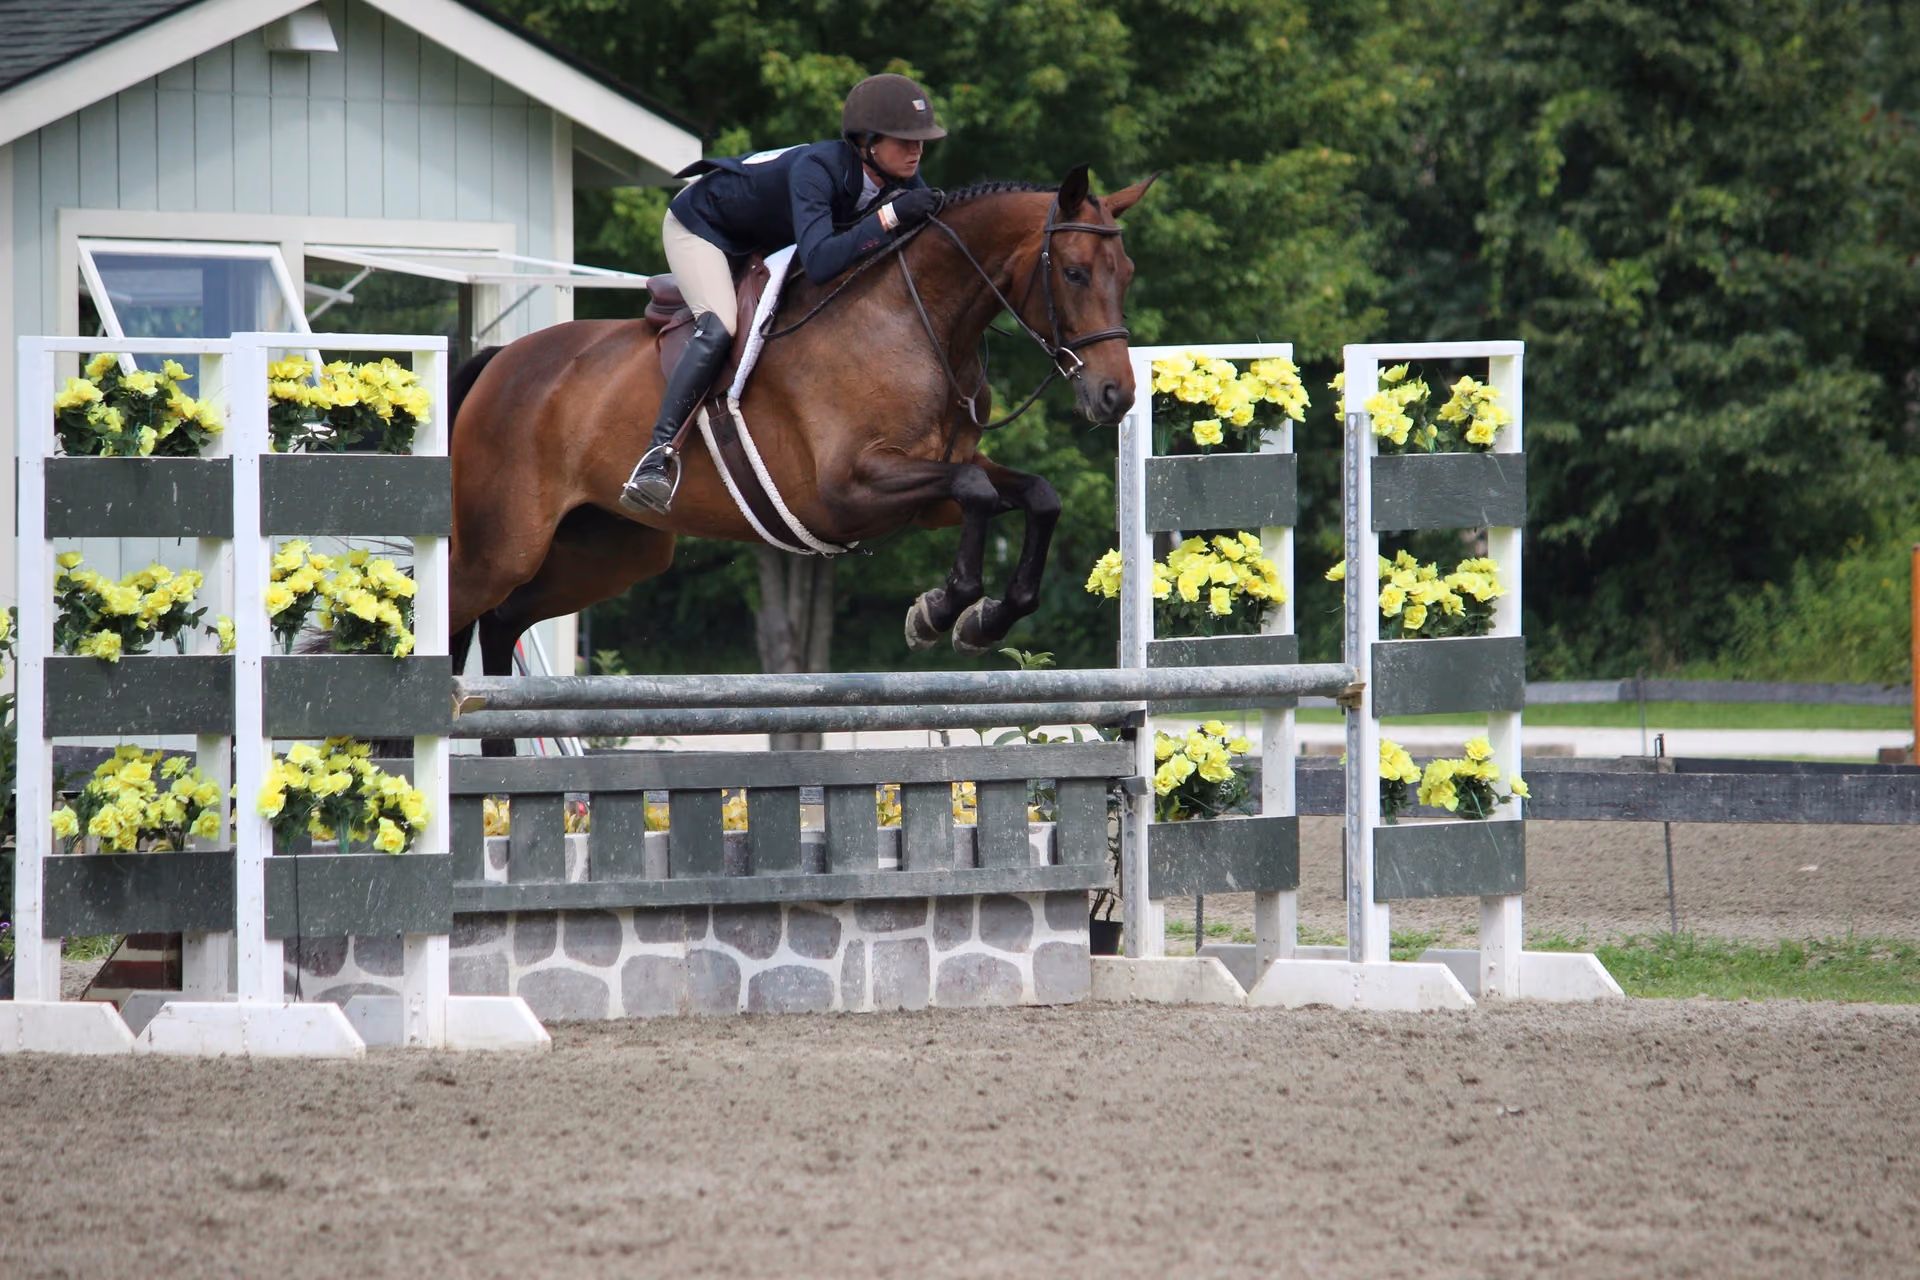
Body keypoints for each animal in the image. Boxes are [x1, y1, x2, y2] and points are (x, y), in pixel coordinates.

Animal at [445, 163, 1152, 695]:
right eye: (1074, 273)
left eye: (1128, 275)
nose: (1115, 395)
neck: (917, 320)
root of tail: (498, 363)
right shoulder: (848, 491)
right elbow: (978, 491)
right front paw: (938, 612)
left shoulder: (930, 493)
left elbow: (1035, 495)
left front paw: (982, 621)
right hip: (501, 546)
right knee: (459, 615)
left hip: (612, 550)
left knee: (502, 622)